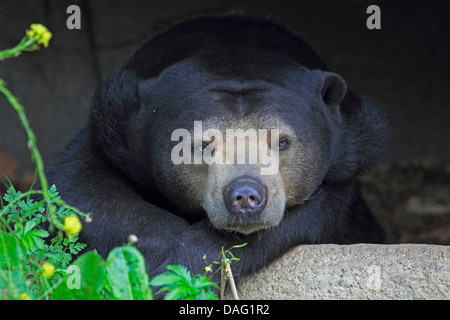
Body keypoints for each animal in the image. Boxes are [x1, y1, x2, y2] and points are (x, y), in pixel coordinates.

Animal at [44, 13, 390, 282]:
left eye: (282, 142)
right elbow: (79, 185)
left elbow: (316, 210)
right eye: (200, 145)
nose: (246, 196)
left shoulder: (350, 145)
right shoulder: (118, 128)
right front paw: (171, 256)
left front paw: (197, 257)